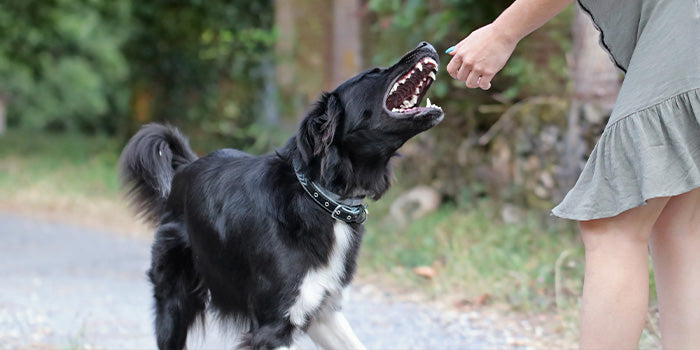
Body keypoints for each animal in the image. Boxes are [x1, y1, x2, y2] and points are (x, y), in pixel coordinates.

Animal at [119, 42, 442, 348]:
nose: (426, 44)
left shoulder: (322, 311)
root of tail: (184, 169)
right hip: (174, 302)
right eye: (373, 73)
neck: (320, 198)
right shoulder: (272, 326)